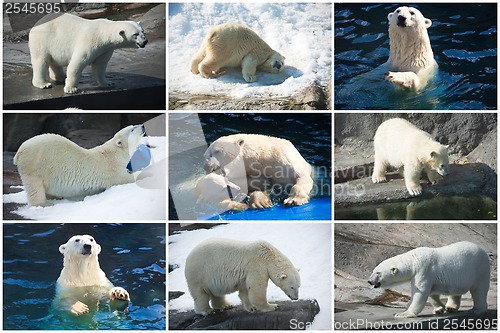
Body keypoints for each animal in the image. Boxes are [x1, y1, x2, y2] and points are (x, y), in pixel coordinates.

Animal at [13, 123, 146, 206]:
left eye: (133, 126)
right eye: (132, 129)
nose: (143, 126)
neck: (116, 152)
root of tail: (19, 152)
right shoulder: (114, 168)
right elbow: (127, 179)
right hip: (34, 165)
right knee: (35, 188)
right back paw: (45, 203)